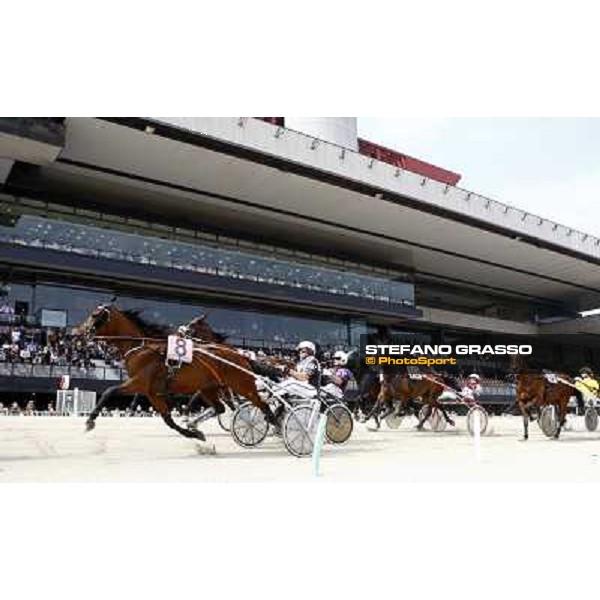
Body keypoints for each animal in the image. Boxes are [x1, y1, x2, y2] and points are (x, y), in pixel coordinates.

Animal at [77, 304, 278, 440]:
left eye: (94, 316)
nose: (77, 333)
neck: (142, 348)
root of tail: (240, 356)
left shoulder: (140, 382)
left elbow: (109, 391)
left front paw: (89, 421)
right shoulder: (152, 392)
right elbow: (168, 420)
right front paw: (194, 434)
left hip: (243, 386)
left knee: (262, 406)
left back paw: (275, 426)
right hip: (209, 388)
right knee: (221, 407)